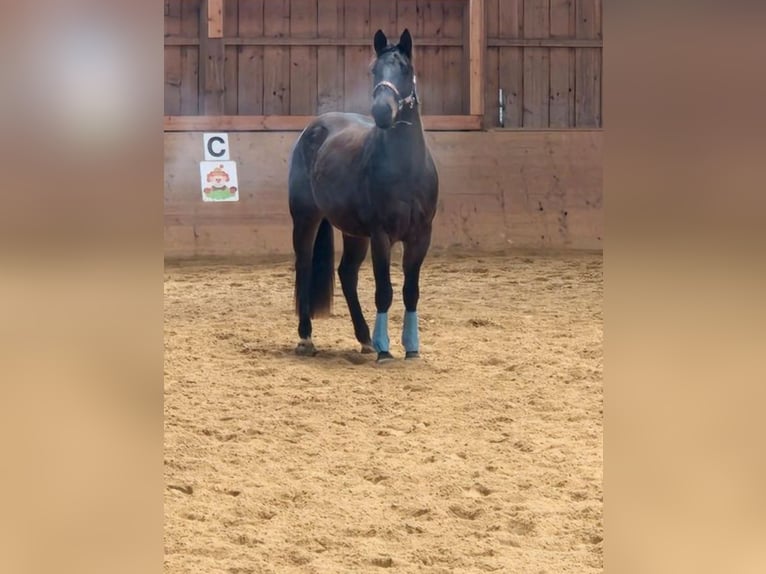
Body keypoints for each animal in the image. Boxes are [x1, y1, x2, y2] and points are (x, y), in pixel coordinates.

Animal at [288, 28, 439, 363]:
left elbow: (411, 291)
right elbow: (384, 290)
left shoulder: (421, 235)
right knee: (304, 265)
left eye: (404, 69)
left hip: (354, 232)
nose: (382, 112)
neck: (405, 167)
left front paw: (411, 348)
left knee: (347, 274)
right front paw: (385, 350)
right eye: (374, 70)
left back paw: (365, 338)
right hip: (305, 217)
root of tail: (315, 127)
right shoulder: (381, 234)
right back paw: (306, 337)